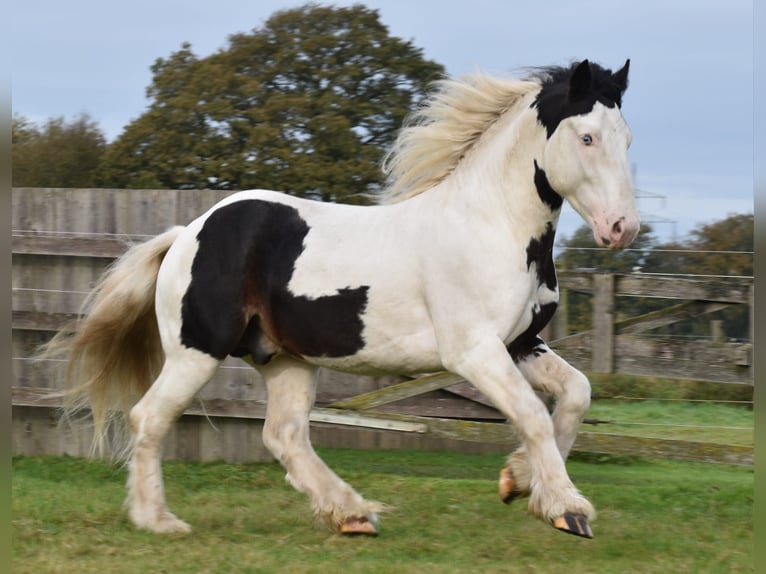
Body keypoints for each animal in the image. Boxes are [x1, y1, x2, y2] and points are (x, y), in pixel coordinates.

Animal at [45, 58, 640, 540]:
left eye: (628, 138)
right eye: (587, 137)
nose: (621, 228)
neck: (490, 224)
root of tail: (186, 233)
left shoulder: (520, 343)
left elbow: (576, 395)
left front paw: (518, 481)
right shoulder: (474, 351)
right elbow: (533, 415)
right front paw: (567, 509)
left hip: (285, 360)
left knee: (284, 436)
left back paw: (351, 514)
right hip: (197, 352)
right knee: (148, 418)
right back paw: (158, 521)